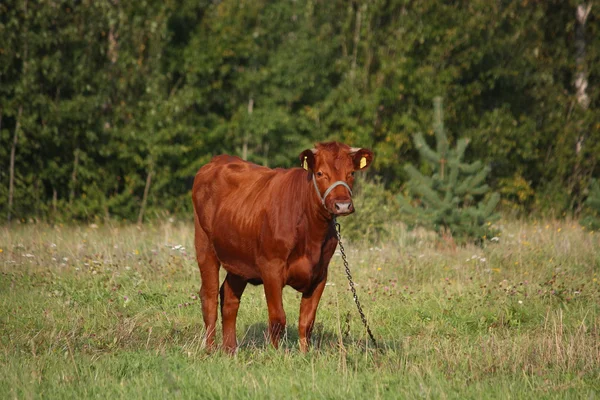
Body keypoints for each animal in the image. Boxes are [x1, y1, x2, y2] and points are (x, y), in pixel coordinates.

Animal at [192, 141, 372, 354]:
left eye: (351, 173)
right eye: (320, 173)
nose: (342, 205)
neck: (310, 233)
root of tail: (219, 159)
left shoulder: (320, 274)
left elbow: (307, 321)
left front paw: (304, 354)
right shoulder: (271, 268)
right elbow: (278, 318)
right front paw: (275, 354)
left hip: (238, 259)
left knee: (229, 298)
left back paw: (230, 349)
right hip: (204, 245)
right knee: (209, 296)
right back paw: (210, 349)